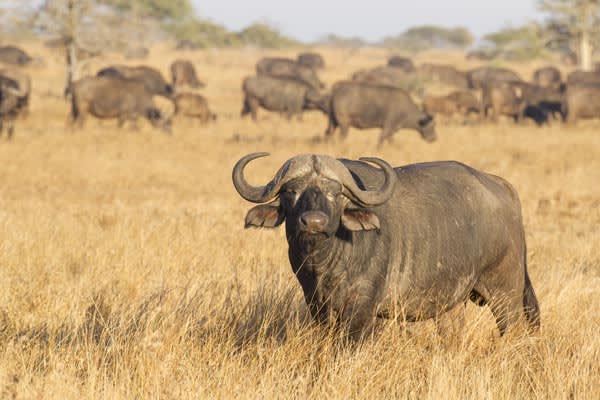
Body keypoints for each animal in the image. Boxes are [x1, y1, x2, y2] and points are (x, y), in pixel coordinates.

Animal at [232, 152, 540, 338]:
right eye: (292, 192)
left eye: (336, 194)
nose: (314, 222)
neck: (324, 264)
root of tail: (504, 188)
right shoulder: (317, 306)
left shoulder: (362, 309)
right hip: (451, 303)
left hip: (506, 293)